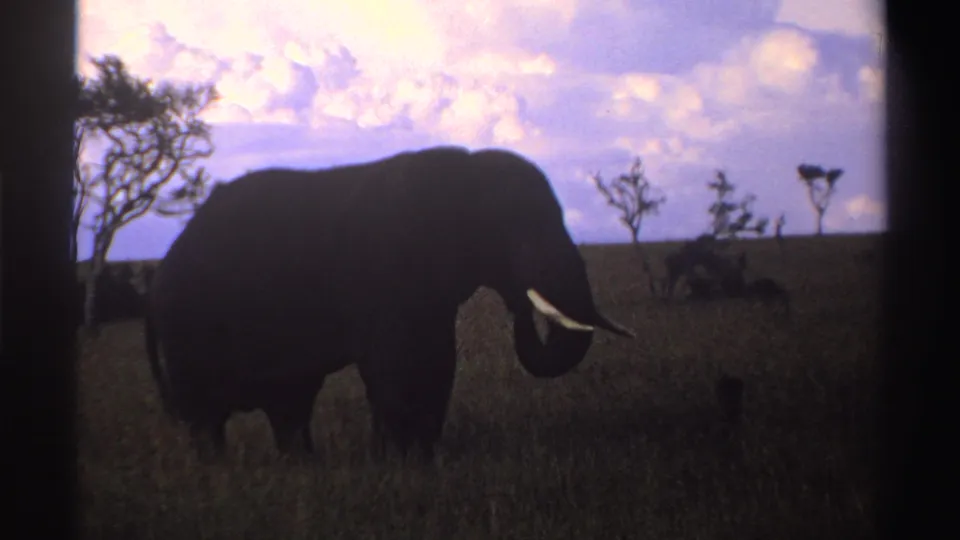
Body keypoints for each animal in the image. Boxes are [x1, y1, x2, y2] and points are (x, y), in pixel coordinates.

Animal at [145, 145, 635, 463]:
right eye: (516, 231)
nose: (521, 302)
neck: (465, 172)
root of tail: (162, 267)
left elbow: (436, 362)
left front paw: (418, 460)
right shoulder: (389, 270)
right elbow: (398, 365)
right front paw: (401, 464)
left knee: (289, 403)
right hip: (189, 327)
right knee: (208, 417)